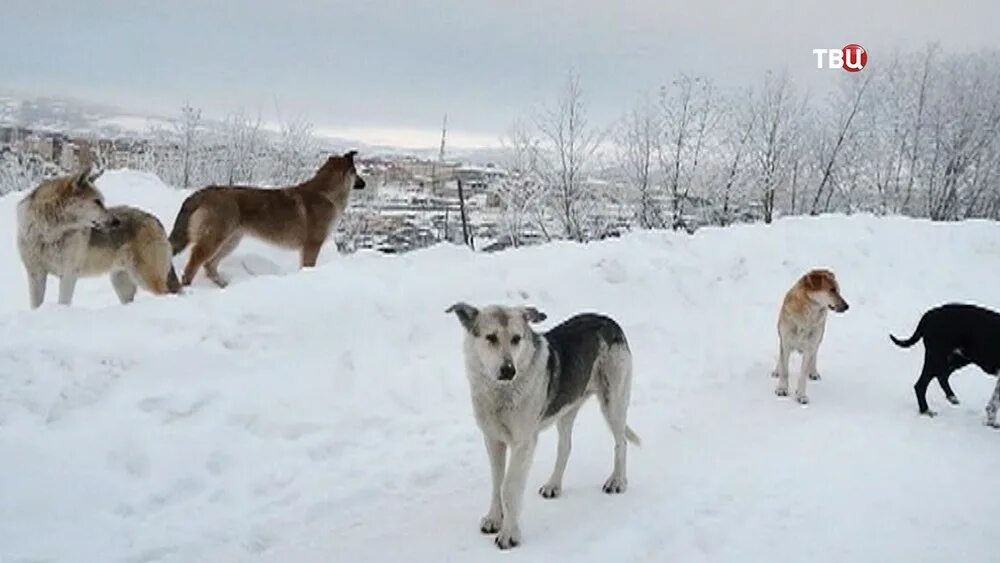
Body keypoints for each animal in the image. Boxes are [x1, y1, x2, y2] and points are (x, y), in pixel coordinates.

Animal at [17, 167, 182, 308]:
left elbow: (63, 302)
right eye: (97, 202)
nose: (116, 222)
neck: (48, 234)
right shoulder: (35, 275)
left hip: (145, 278)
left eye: (102, 201)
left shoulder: (69, 274)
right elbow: (35, 306)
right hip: (121, 283)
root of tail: (156, 220)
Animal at [168, 151, 368, 286]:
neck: (325, 193)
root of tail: (203, 193)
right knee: (193, 266)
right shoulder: (312, 245)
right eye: (356, 172)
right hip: (214, 240)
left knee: (209, 266)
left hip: (230, 242)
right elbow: (308, 266)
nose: (364, 184)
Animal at [448, 304, 640, 552]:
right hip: (567, 411)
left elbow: (509, 487)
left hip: (613, 403)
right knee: (566, 448)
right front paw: (493, 519)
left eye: (516, 338)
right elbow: (496, 483)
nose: (508, 370)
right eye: (490, 337)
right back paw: (553, 485)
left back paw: (617, 481)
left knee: (621, 442)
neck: (502, 392)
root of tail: (609, 321)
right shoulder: (493, 440)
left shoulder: (523, 444)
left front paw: (509, 535)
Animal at [768, 270, 848, 406]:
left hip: (818, 338)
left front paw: (801, 396)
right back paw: (777, 370)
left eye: (838, 290)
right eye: (832, 290)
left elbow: (803, 375)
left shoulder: (809, 346)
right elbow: (785, 370)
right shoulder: (786, 341)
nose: (847, 306)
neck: (807, 314)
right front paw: (782, 389)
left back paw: (813, 372)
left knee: (814, 355)